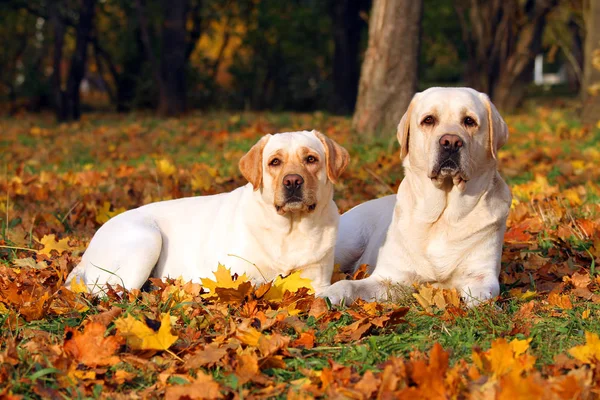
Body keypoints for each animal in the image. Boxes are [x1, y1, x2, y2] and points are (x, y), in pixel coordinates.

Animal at [67, 130, 346, 294]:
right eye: (274, 162)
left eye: (311, 159)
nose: (293, 182)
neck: (291, 227)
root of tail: (85, 253)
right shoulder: (242, 277)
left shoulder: (317, 280)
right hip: (147, 242)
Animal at [324, 87, 510, 304]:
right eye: (429, 120)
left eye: (469, 121)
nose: (451, 142)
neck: (443, 215)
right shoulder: (389, 276)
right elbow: (349, 285)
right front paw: (329, 294)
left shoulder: (481, 275)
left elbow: (480, 296)